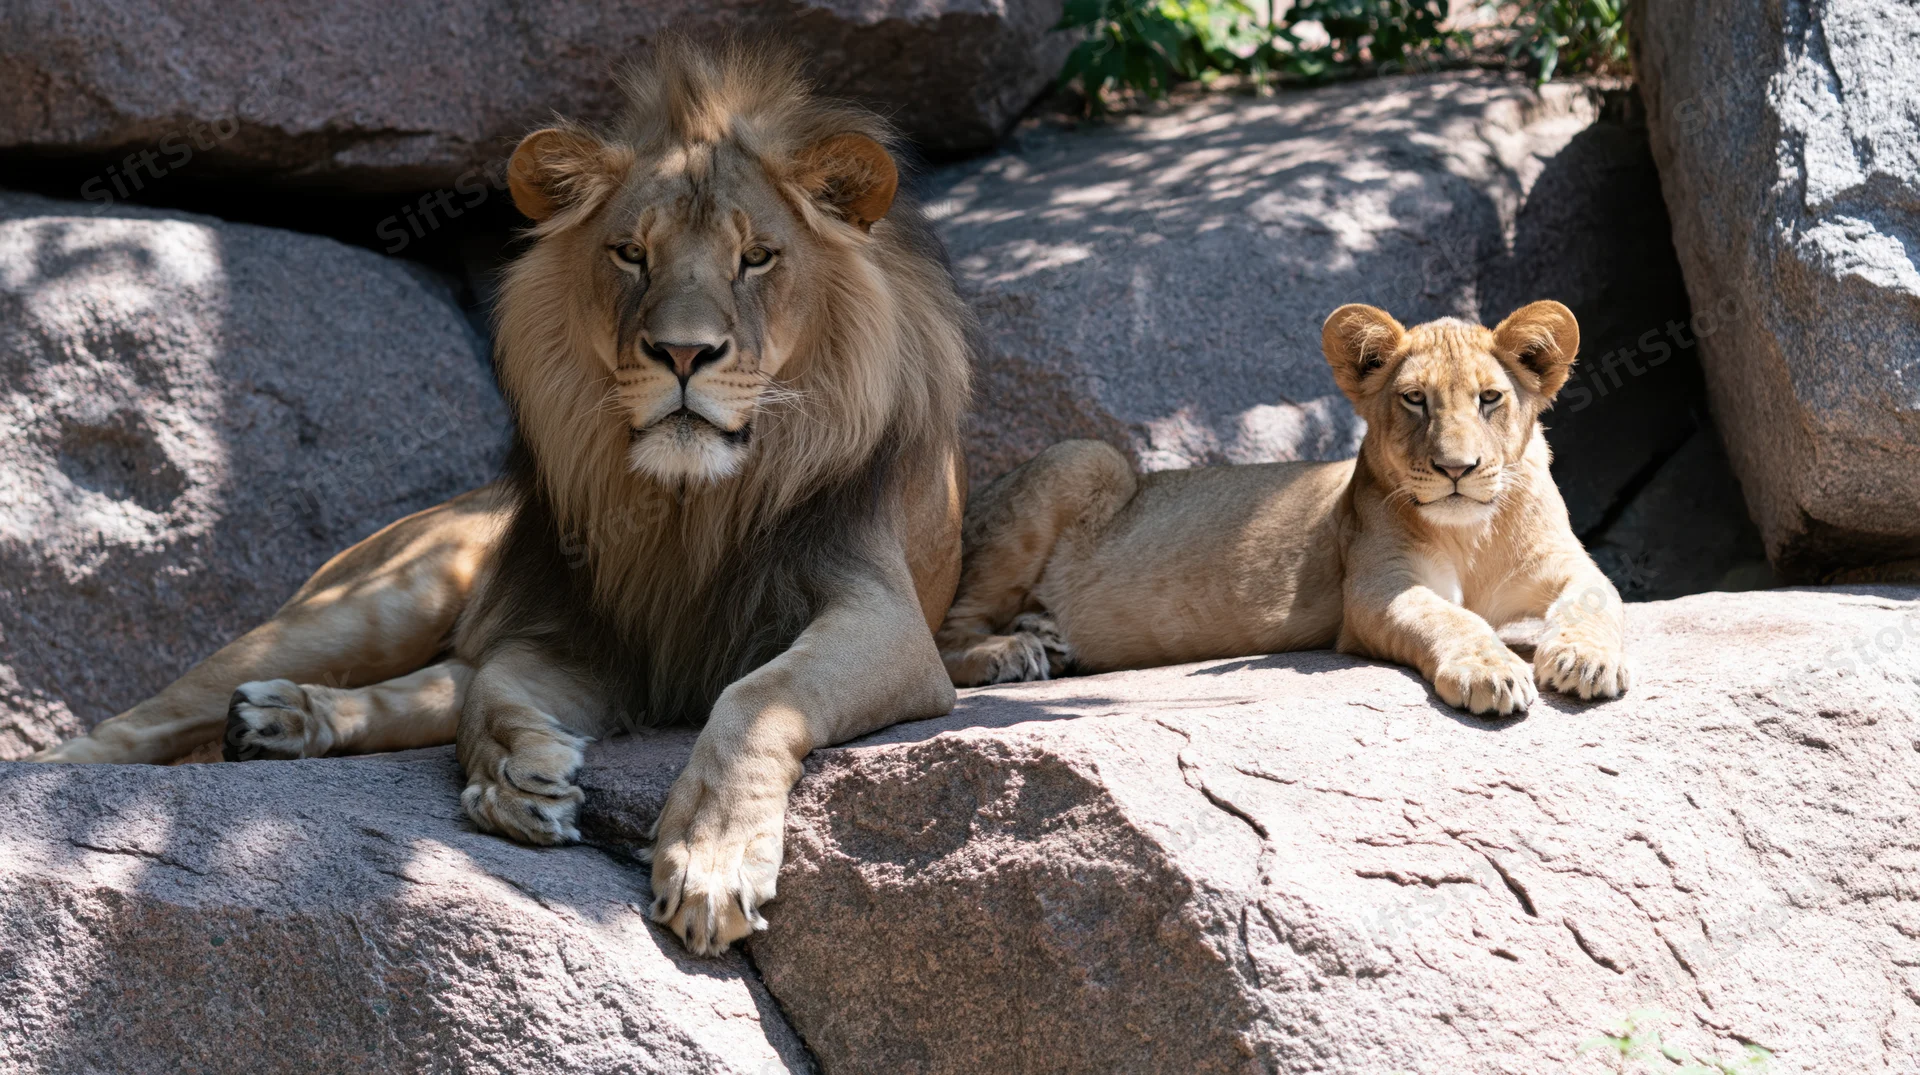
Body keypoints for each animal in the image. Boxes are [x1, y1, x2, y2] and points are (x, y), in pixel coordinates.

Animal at [30, 41, 973, 956]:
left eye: (758, 257)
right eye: (632, 254)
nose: (681, 354)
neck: (688, 503)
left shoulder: (888, 620)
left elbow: (754, 696)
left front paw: (710, 857)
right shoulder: (577, 628)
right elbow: (490, 691)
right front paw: (519, 779)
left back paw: (286, 717)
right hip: (392, 590)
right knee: (143, 719)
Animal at [936, 300, 1629, 716]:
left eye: (1489, 399)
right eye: (1414, 400)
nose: (1456, 469)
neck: (1474, 535)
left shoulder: (1570, 563)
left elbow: (1599, 600)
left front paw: (1586, 661)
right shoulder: (1376, 590)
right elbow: (1451, 619)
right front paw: (1492, 674)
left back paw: (1045, 638)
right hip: (1083, 455)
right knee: (946, 629)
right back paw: (1010, 653)